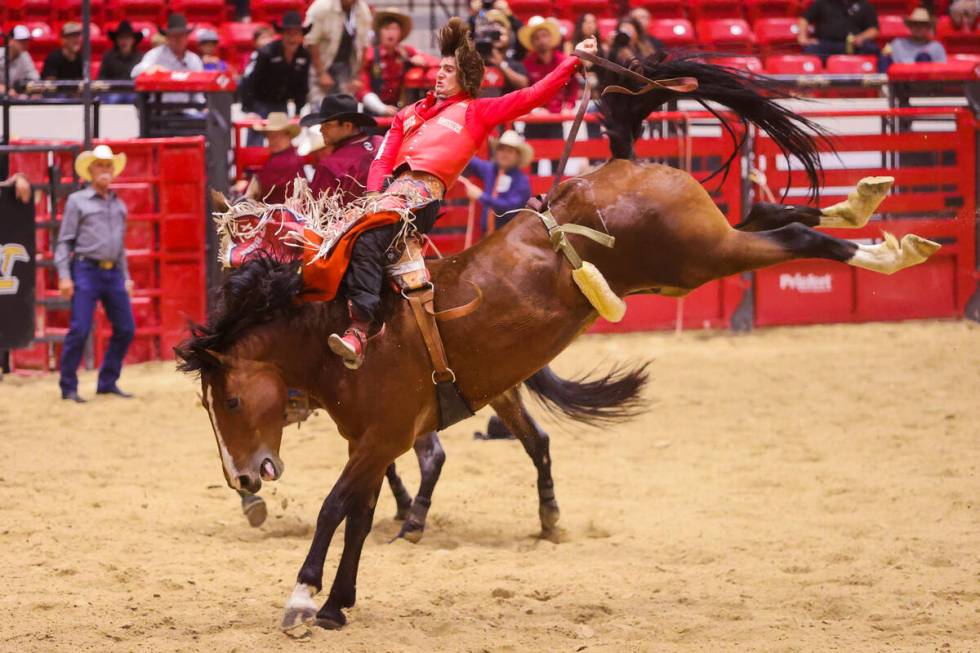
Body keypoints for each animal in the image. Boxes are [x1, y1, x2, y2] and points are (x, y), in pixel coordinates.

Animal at [178, 53, 940, 628]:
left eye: (234, 401)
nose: (246, 478)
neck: (338, 327)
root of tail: (621, 163)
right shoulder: (379, 440)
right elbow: (360, 515)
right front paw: (337, 604)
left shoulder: (381, 435)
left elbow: (338, 507)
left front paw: (302, 598)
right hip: (698, 252)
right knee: (774, 213)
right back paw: (862, 204)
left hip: (700, 256)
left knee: (794, 237)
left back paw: (886, 250)